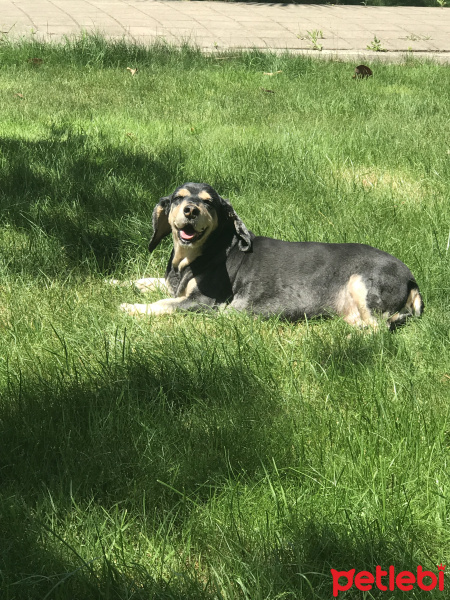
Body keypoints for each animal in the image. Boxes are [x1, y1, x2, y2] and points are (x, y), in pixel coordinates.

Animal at [119, 182, 422, 328]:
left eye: (209, 202)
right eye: (179, 197)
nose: (191, 209)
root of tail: (412, 279)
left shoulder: (203, 302)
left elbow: (162, 304)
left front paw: (131, 308)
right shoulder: (174, 286)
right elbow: (144, 281)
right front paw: (114, 284)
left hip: (362, 285)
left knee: (379, 331)